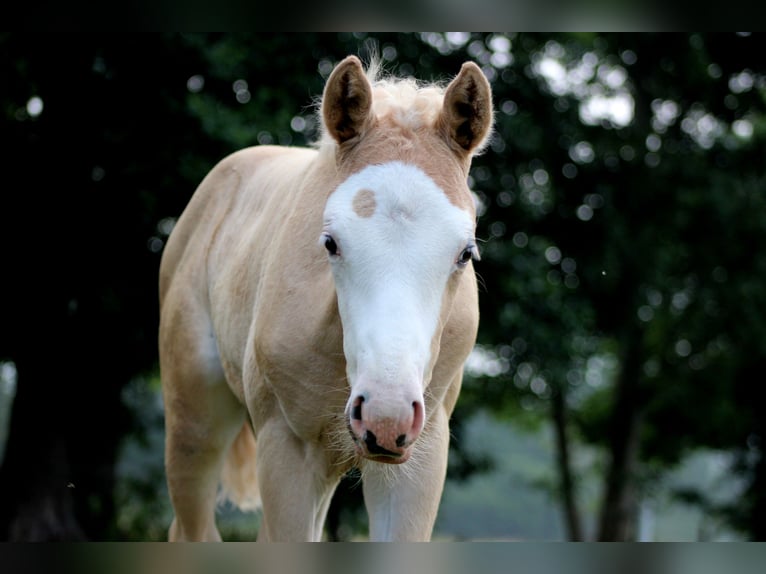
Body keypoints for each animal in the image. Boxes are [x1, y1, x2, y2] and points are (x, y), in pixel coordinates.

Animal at [158, 54, 493, 541]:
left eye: (465, 252)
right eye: (331, 243)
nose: (385, 416)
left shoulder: (420, 457)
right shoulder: (287, 450)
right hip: (195, 424)